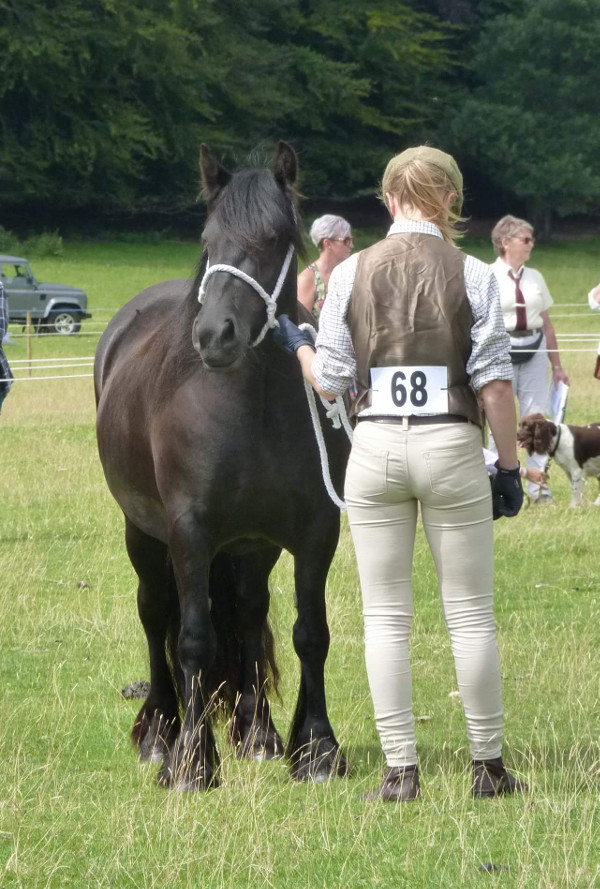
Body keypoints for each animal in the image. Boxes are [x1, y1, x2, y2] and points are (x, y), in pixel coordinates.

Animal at [93, 142, 350, 788]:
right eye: (208, 238)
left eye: (275, 237)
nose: (214, 335)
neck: (251, 409)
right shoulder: (190, 531)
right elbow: (192, 638)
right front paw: (190, 760)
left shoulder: (316, 530)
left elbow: (311, 633)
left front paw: (316, 747)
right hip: (144, 533)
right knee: (155, 613)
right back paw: (159, 733)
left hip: (251, 547)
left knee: (250, 612)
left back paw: (258, 734)